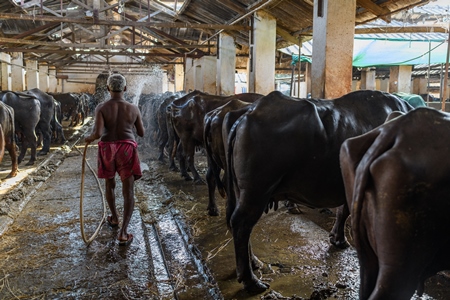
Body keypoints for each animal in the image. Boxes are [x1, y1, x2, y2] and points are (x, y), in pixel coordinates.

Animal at [227, 89, 414, 292]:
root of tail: (248, 114)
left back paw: (254, 263)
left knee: (242, 226)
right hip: (257, 191)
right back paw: (251, 280)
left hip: (243, 191)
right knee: (241, 224)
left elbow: (343, 211)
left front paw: (337, 238)